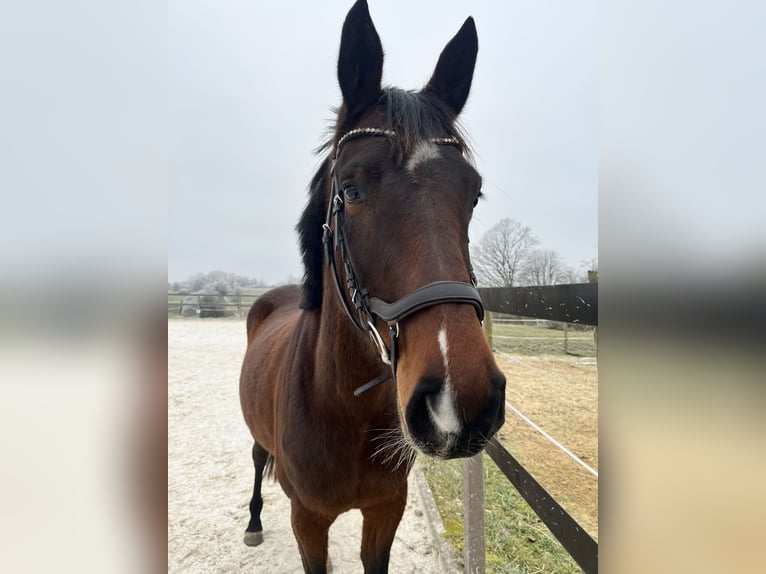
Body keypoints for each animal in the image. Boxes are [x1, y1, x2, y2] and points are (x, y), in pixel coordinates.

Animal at [238, 2, 504, 572]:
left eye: (473, 194)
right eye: (351, 190)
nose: (460, 402)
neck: (344, 406)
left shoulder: (386, 510)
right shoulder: (307, 520)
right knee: (255, 457)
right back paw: (251, 523)